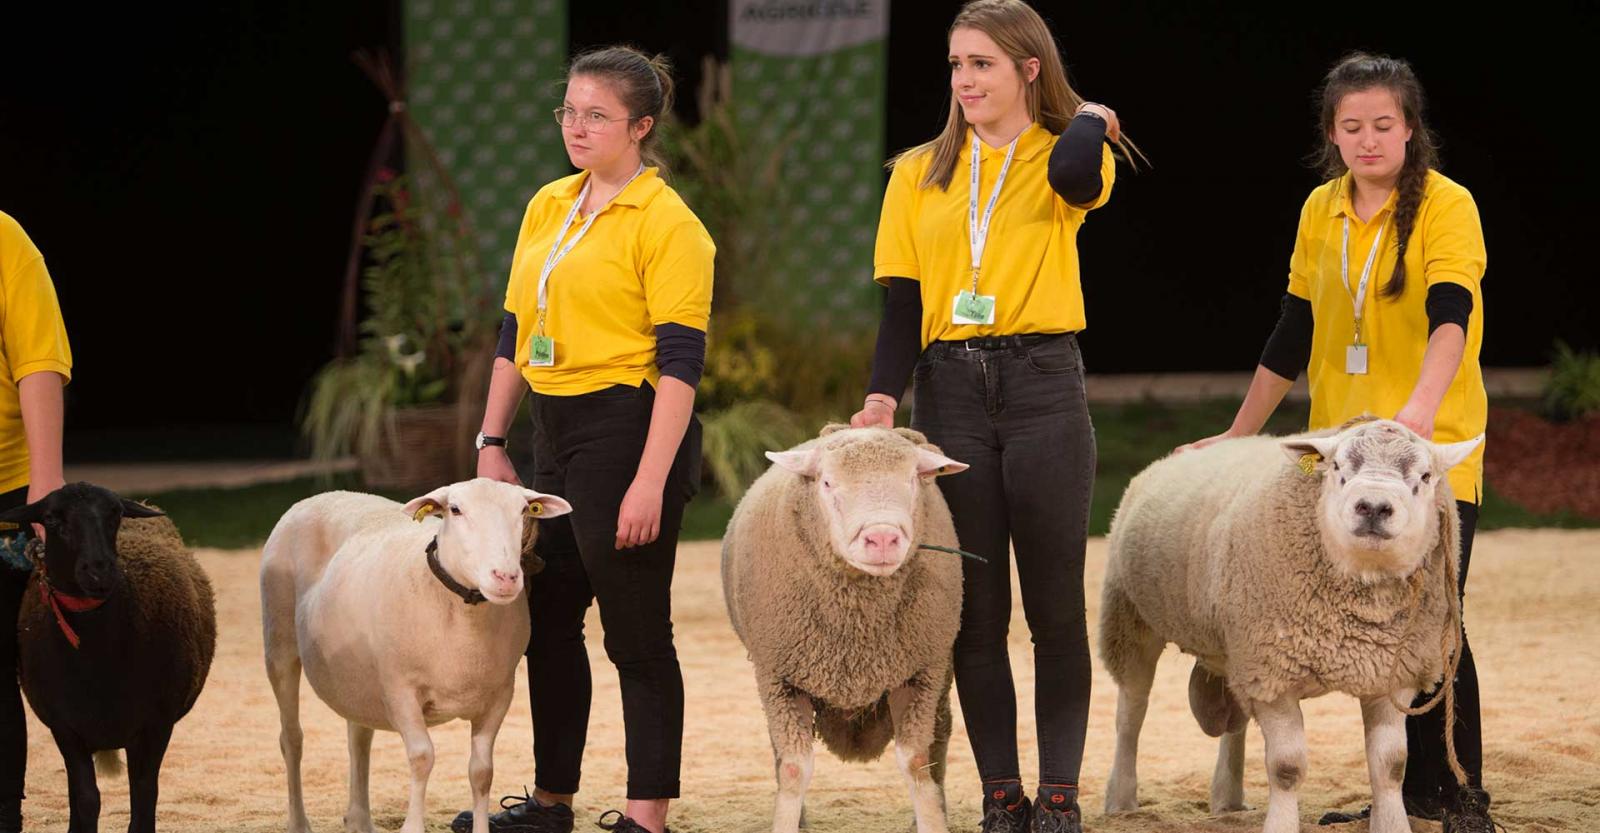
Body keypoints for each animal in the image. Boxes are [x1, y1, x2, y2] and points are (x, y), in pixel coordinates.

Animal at [0, 479, 216, 831]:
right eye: (52, 518)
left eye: (114, 513)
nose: (99, 571)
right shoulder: (65, 726)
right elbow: (87, 799)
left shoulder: (155, 724)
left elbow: (144, 799)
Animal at [267, 476, 576, 831]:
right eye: (455, 510)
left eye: (524, 510)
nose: (506, 577)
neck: (463, 615)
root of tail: (323, 496)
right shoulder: (399, 689)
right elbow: (421, 757)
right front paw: (413, 825)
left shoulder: (500, 694)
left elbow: (482, 771)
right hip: (279, 645)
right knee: (292, 739)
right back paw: (298, 821)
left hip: (357, 676)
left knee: (358, 738)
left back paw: (359, 819)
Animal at [723, 425, 966, 831]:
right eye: (826, 482)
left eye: (911, 480)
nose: (882, 537)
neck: (857, 630)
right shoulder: (780, 677)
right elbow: (794, 769)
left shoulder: (920, 673)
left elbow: (917, 763)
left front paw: (932, 821)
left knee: (940, 737)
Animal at [1094, 418, 1478, 831]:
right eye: (1338, 468)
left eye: (1425, 476)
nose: (1373, 507)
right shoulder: (1273, 672)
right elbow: (1287, 768)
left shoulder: (1392, 675)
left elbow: (1390, 766)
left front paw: (1391, 823)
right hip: (1129, 618)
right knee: (1130, 714)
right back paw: (1121, 801)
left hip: (1236, 649)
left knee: (1234, 720)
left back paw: (1228, 799)